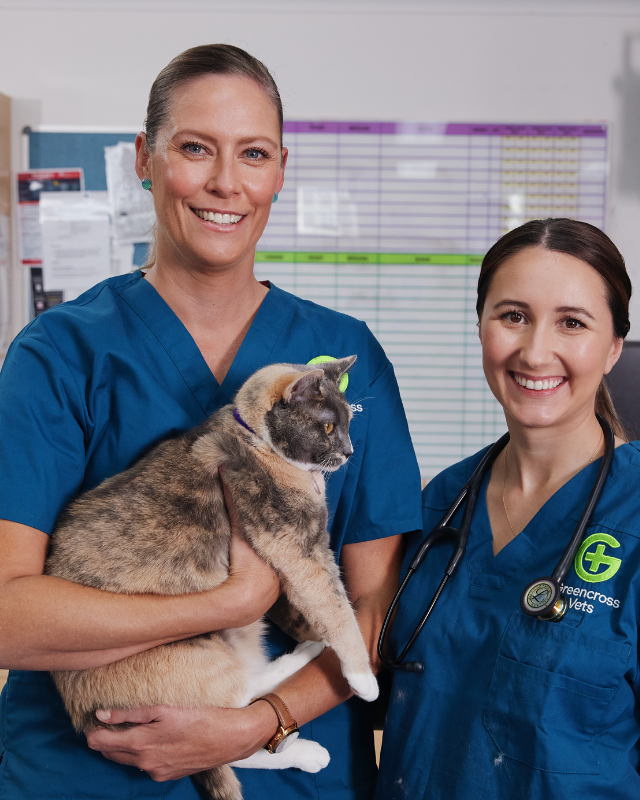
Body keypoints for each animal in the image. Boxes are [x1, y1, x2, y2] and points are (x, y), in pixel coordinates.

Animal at [46, 354, 380, 800]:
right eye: (328, 426)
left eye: (348, 422)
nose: (348, 451)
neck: (255, 438)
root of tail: (83, 715)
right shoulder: (300, 548)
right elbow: (335, 606)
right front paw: (362, 678)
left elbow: (306, 606)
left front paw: (313, 631)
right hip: (195, 655)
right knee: (231, 714)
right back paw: (305, 688)